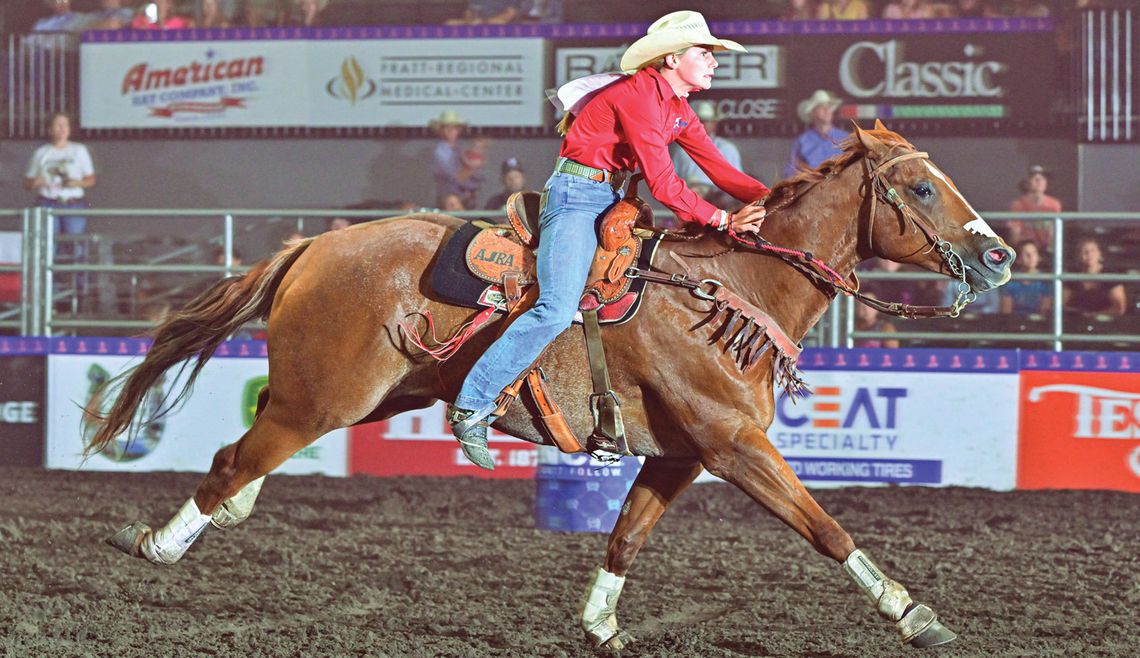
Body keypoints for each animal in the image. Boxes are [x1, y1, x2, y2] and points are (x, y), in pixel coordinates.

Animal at [88, 122, 1016, 647]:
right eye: (922, 185)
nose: (1001, 254)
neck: (731, 289)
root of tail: (314, 246)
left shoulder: (678, 454)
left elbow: (627, 537)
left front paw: (600, 623)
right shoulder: (734, 444)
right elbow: (824, 526)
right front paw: (913, 614)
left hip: (373, 396)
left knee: (246, 461)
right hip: (320, 398)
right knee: (231, 460)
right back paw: (159, 543)